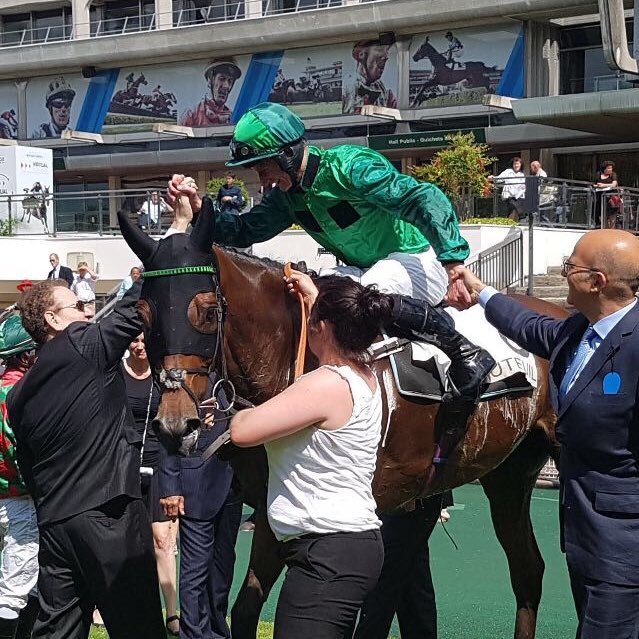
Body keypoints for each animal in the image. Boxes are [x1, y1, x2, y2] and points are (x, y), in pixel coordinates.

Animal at [119, 210, 564, 639]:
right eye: (142, 316)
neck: (292, 358)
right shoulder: (272, 508)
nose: (175, 425)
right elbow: (246, 609)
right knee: (528, 570)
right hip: (508, 474)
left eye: (210, 311)